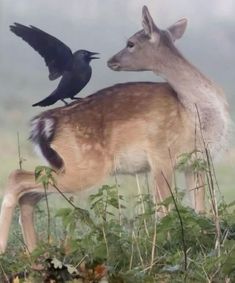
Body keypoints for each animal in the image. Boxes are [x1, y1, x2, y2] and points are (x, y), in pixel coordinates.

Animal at [0, 5, 229, 254]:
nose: (111, 60)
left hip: (63, 164)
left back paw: (34, 253)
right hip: (85, 165)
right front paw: (166, 245)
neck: (194, 110)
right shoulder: (160, 154)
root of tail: (43, 124)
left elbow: (200, 209)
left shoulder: (196, 162)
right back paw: (6, 250)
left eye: (130, 43)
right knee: (16, 177)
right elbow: (164, 210)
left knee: (28, 195)